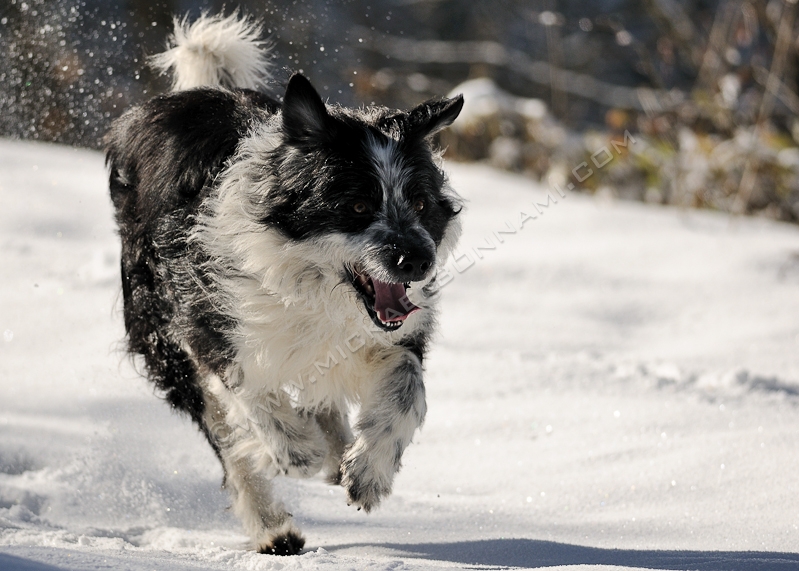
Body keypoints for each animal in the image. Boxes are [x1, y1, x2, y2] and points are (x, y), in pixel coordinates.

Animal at [104, 13, 466, 556]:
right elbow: (251, 393)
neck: (310, 279)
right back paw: (274, 525)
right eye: (357, 205)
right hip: (158, 330)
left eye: (421, 202)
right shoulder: (206, 319)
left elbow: (406, 383)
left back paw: (338, 454)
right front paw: (295, 452)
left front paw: (367, 472)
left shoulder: (390, 331)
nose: (419, 261)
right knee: (223, 432)